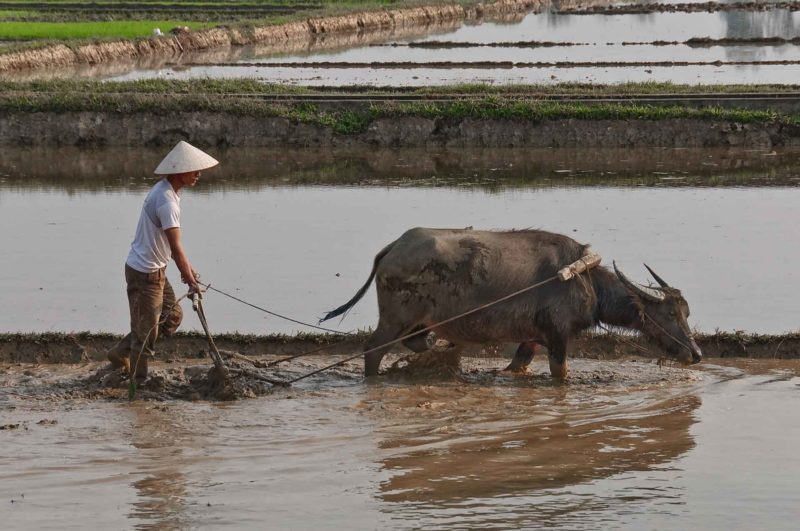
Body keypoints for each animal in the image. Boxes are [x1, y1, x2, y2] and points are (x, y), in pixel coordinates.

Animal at [322, 229, 704, 378]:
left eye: (687, 312)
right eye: (671, 312)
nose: (697, 354)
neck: (583, 278)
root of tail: (393, 247)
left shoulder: (531, 338)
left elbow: (517, 364)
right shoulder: (557, 335)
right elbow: (560, 372)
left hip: (414, 323)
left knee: (415, 342)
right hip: (394, 319)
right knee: (372, 351)